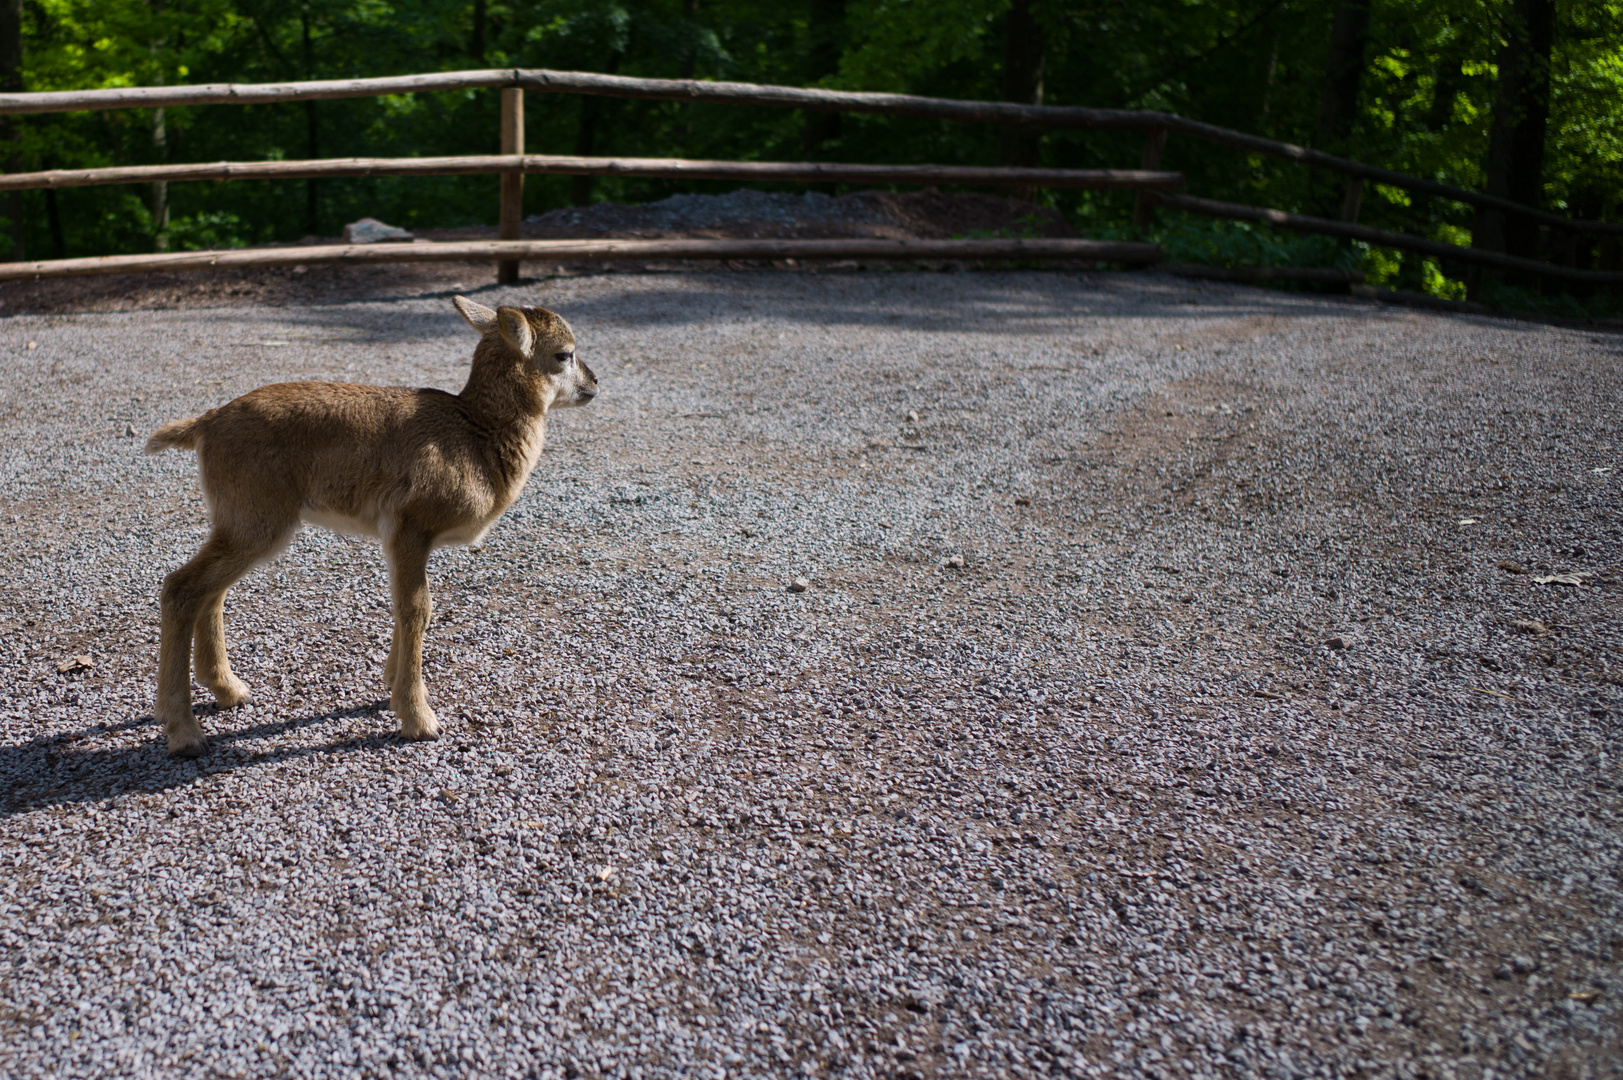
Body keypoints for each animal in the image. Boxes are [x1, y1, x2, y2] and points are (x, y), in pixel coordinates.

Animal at [142, 295, 600, 756]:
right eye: (564, 354)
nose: (594, 384)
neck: (475, 434)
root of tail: (205, 424)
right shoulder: (410, 526)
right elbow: (416, 608)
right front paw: (419, 719)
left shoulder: (399, 537)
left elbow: (408, 607)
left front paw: (391, 688)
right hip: (256, 519)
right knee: (181, 587)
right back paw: (183, 730)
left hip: (239, 521)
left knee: (210, 591)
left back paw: (229, 691)